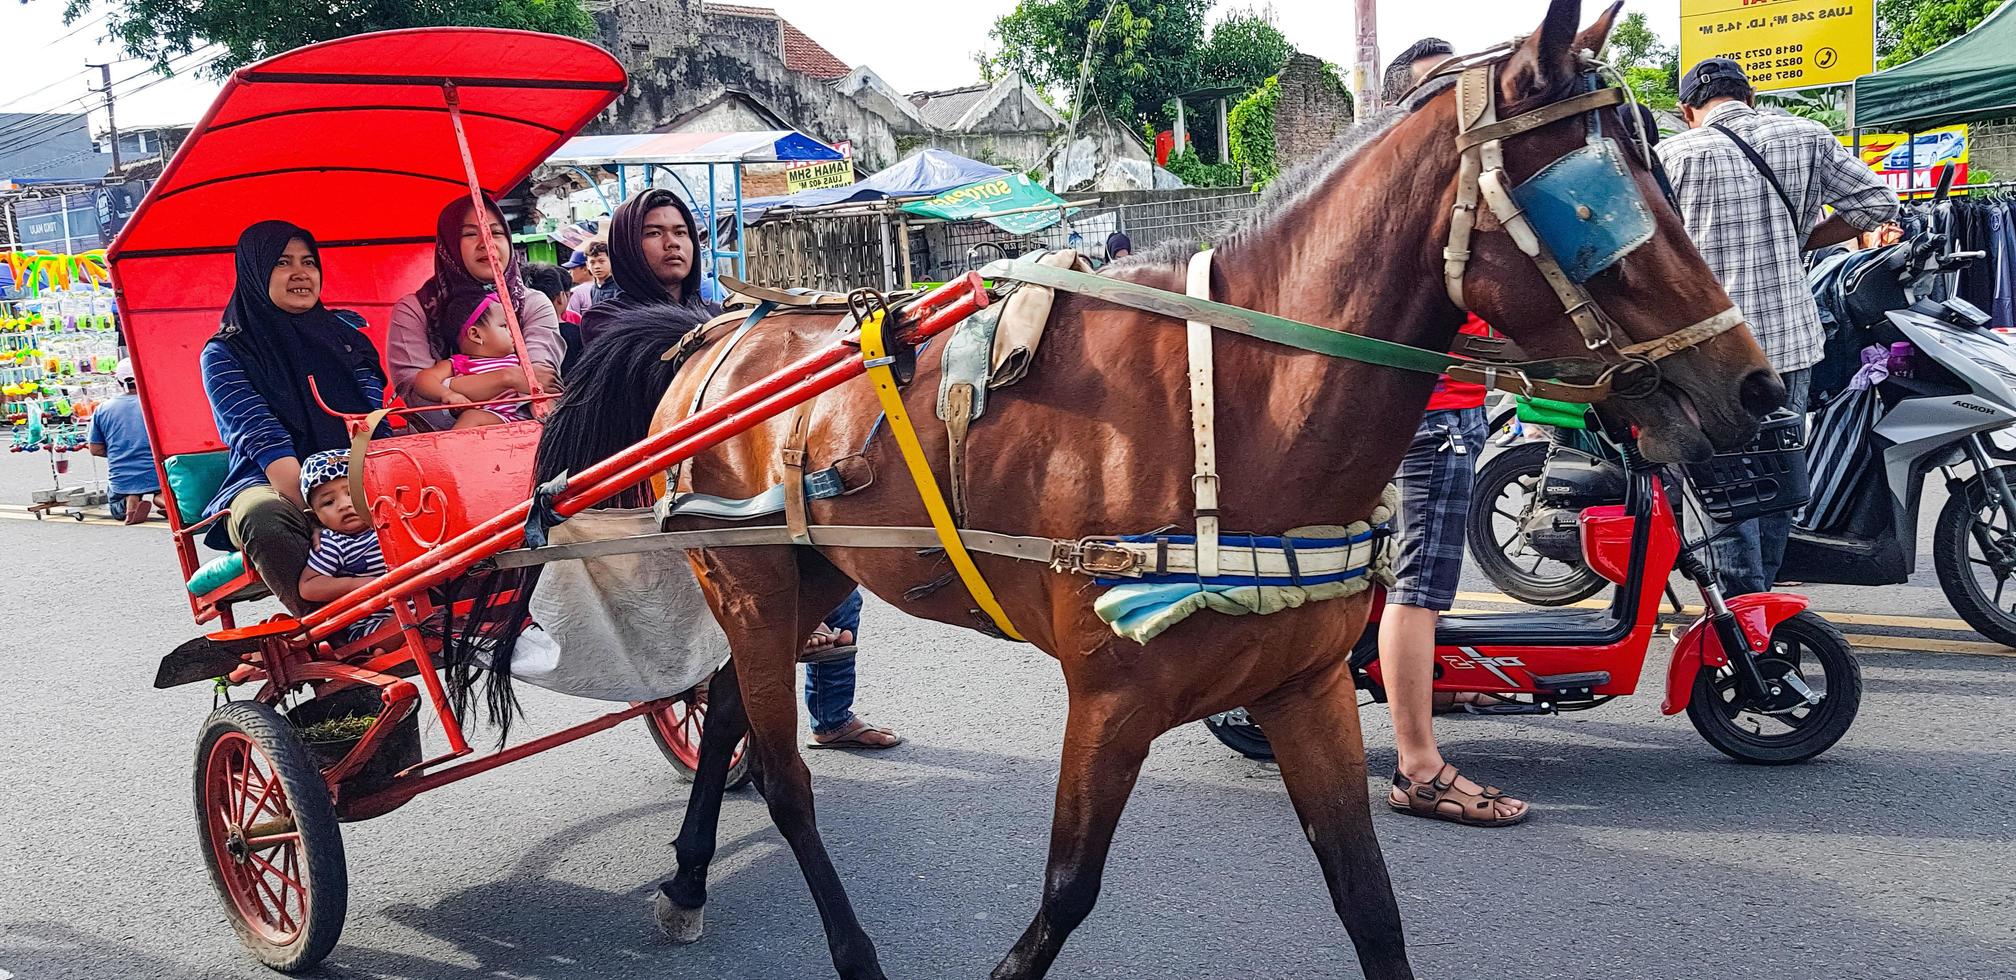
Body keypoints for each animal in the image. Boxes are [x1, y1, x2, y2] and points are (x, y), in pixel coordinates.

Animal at [544, 3, 1774, 975]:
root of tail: (709, 331)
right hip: (748, 582)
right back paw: (846, 947)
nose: (1755, 389)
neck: (1234, 407)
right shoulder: (1110, 697)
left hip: (791, 579)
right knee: (784, 774)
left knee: (724, 729)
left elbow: (1370, 904)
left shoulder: (1304, 687)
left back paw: (687, 882)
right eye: (1593, 201)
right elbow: (1065, 893)